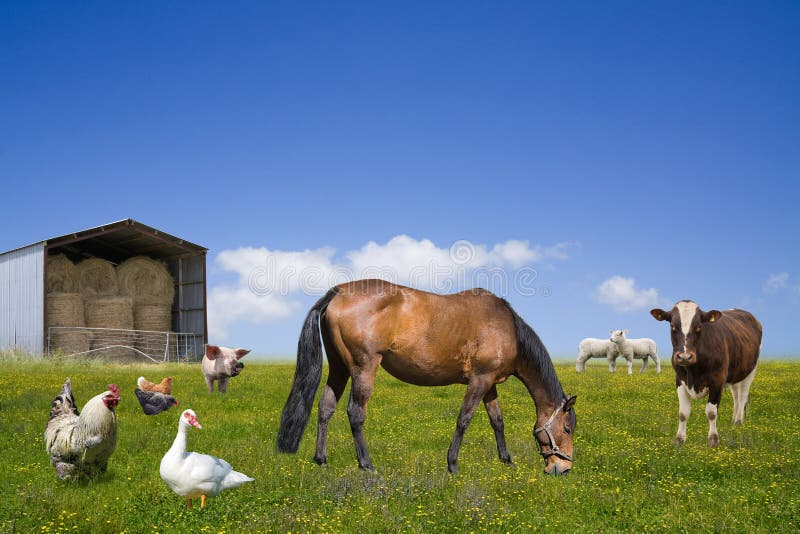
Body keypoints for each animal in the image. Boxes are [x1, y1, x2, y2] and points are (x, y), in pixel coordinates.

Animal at [276, 280, 576, 478]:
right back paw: (367, 464)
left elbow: (497, 422)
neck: (506, 327)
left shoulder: (489, 384)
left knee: (325, 407)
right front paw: (452, 464)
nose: (563, 468)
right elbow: (464, 420)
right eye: (568, 428)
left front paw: (506, 460)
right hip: (363, 368)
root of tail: (337, 292)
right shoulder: (479, 380)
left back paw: (321, 459)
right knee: (355, 413)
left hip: (339, 368)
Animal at [648, 302, 764, 448]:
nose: (685, 356)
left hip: (751, 370)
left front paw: (713, 439)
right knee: (736, 396)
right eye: (673, 326)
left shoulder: (717, 381)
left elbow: (711, 412)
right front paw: (679, 439)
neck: (693, 373)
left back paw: (738, 421)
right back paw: (733, 420)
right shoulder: (679, 380)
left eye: (699, 326)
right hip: (735, 372)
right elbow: (683, 413)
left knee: (743, 396)